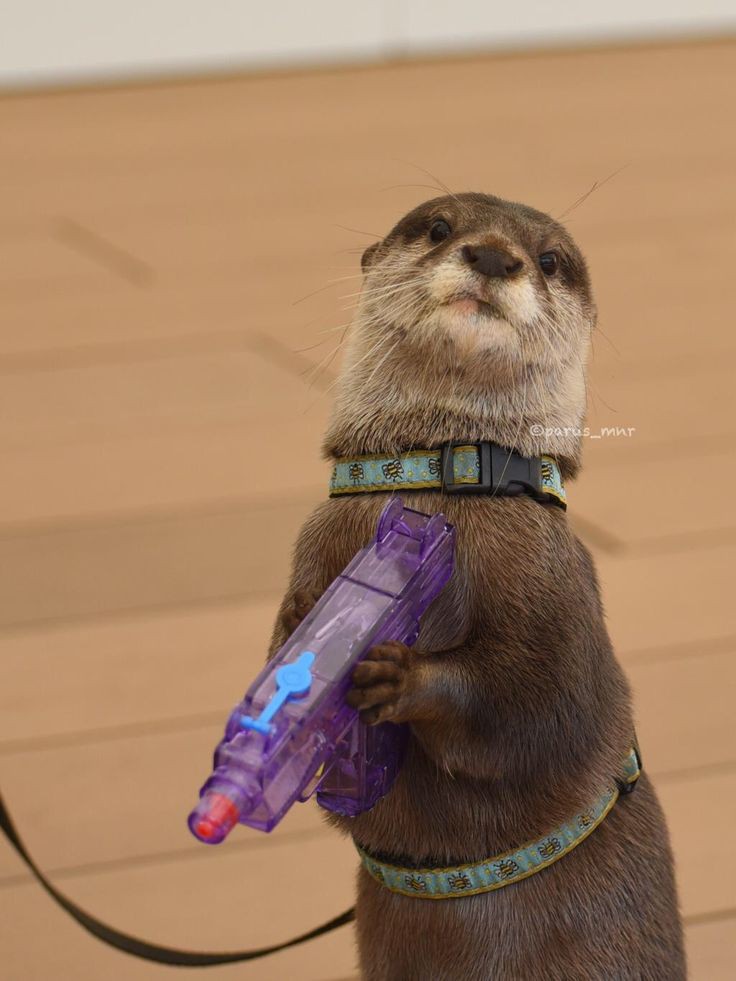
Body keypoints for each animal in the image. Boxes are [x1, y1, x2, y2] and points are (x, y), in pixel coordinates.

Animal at [270, 193, 685, 980]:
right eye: (438, 227)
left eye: (549, 259)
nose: (494, 255)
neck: (439, 476)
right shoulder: (310, 551)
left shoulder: (559, 591)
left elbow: (535, 707)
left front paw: (400, 675)